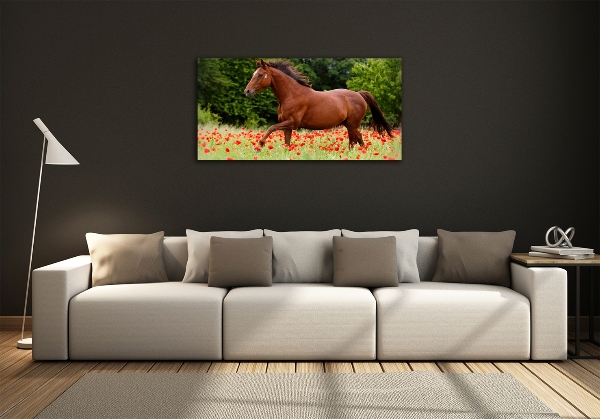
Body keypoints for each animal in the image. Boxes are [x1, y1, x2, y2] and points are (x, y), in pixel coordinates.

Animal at [244, 60, 394, 149]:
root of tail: (359, 94)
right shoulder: (287, 125)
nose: (247, 91)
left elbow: (271, 127)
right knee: (359, 138)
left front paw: (260, 145)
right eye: (254, 74)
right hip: (350, 124)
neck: (291, 94)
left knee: (353, 141)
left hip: (352, 125)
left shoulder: (292, 122)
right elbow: (286, 143)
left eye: (260, 75)